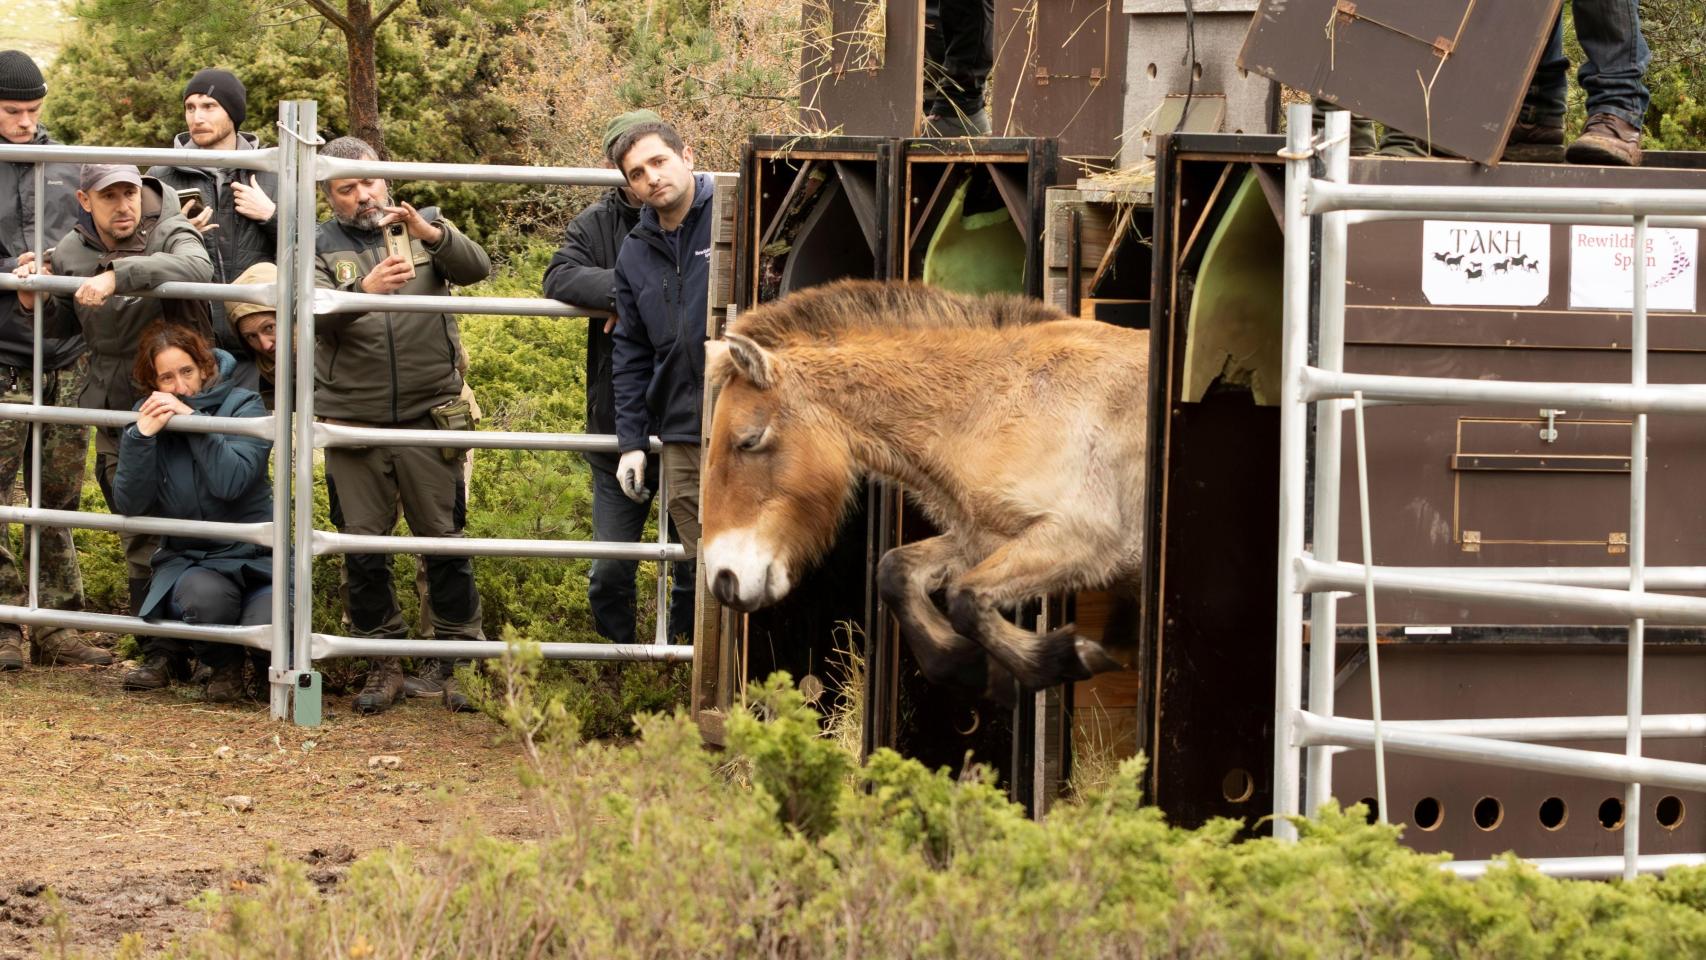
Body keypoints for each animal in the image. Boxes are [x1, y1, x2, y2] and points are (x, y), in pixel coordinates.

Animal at [699, 279, 1144, 695]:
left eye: (749, 440)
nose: (724, 581)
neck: (1000, 402)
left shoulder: (1083, 538)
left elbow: (965, 599)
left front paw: (1067, 657)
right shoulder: (984, 538)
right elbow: (896, 572)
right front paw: (969, 666)